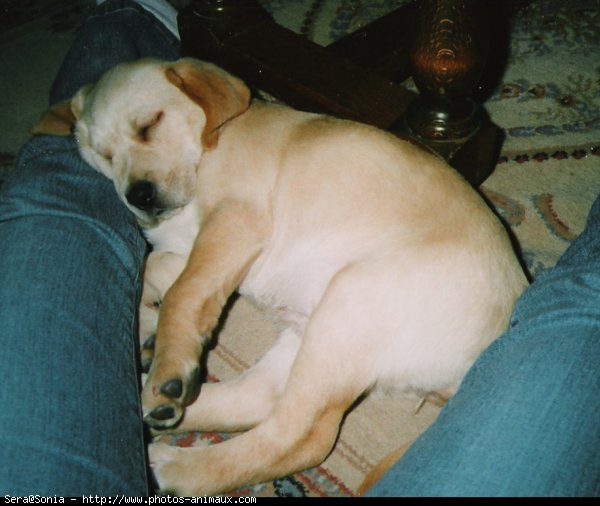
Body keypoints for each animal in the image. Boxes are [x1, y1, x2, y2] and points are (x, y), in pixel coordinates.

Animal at [35, 57, 528, 496]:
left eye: (149, 125)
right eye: (103, 155)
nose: (138, 196)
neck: (208, 145)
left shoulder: (235, 221)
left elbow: (183, 291)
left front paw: (168, 353)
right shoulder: (199, 250)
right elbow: (157, 270)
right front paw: (149, 323)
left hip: (350, 302)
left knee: (302, 438)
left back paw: (171, 459)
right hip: (312, 331)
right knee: (258, 400)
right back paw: (141, 401)